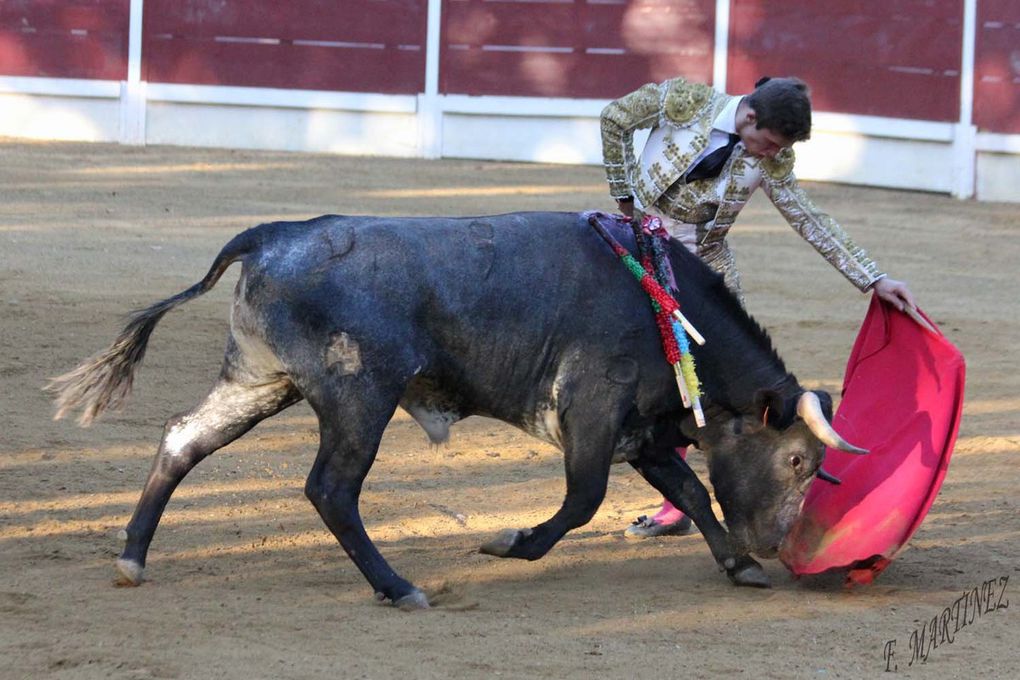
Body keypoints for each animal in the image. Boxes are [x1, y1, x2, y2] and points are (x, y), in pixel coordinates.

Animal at [47, 210, 860, 607]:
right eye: (795, 458)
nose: (773, 546)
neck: (663, 303)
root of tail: (276, 234)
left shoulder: (645, 432)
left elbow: (690, 491)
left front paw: (736, 566)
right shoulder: (593, 413)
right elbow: (584, 500)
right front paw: (509, 543)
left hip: (259, 380)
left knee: (183, 440)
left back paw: (131, 558)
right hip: (359, 398)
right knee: (331, 490)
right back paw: (399, 587)